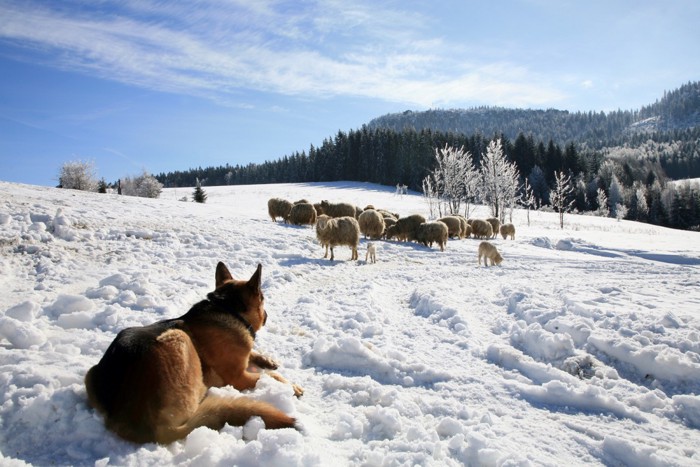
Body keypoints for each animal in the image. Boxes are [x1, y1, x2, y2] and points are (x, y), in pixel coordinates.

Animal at [85, 262, 304, 444]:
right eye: (263, 299)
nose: (267, 315)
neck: (227, 309)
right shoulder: (239, 377)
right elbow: (271, 376)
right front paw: (291, 386)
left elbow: (255, 355)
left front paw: (267, 359)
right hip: (180, 338)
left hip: (92, 371)